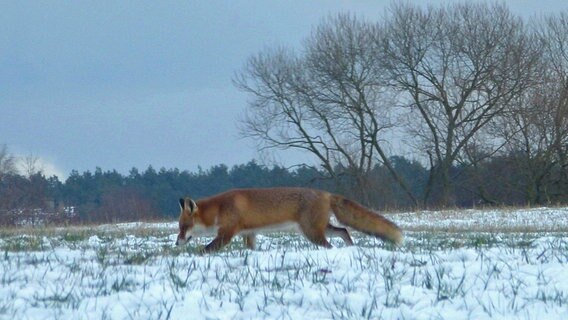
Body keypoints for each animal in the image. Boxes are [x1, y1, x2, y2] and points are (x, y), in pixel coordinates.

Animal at [175, 188, 402, 252]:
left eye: (184, 227)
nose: (176, 242)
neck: (220, 208)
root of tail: (326, 194)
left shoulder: (227, 233)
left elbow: (206, 249)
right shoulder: (249, 233)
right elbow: (251, 249)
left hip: (312, 233)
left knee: (331, 243)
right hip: (319, 228)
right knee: (344, 231)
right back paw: (351, 248)